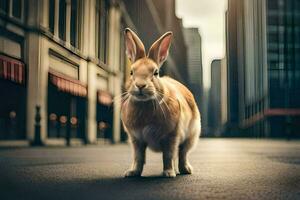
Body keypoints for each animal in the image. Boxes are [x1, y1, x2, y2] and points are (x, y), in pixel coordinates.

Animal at [120, 27, 202, 177]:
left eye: (156, 73)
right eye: (131, 72)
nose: (140, 85)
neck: (145, 104)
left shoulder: (171, 136)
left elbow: (168, 155)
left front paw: (169, 174)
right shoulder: (136, 140)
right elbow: (138, 157)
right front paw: (132, 172)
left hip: (191, 135)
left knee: (182, 153)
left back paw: (185, 170)